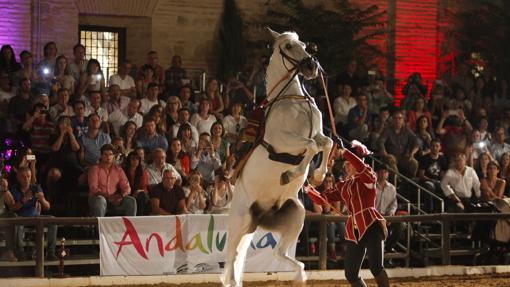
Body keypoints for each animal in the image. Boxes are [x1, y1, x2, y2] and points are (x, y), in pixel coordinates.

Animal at [220, 27, 332, 287]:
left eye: (304, 45)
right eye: (288, 46)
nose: (311, 66)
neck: (292, 101)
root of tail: (261, 216)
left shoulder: (318, 132)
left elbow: (326, 143)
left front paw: (319, 176)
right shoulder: (284, 140)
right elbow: (311, 146)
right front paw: (291, 173)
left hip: (296, 215)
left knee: (277, 253)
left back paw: (300, 274)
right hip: (239, 223)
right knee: (232, 258)